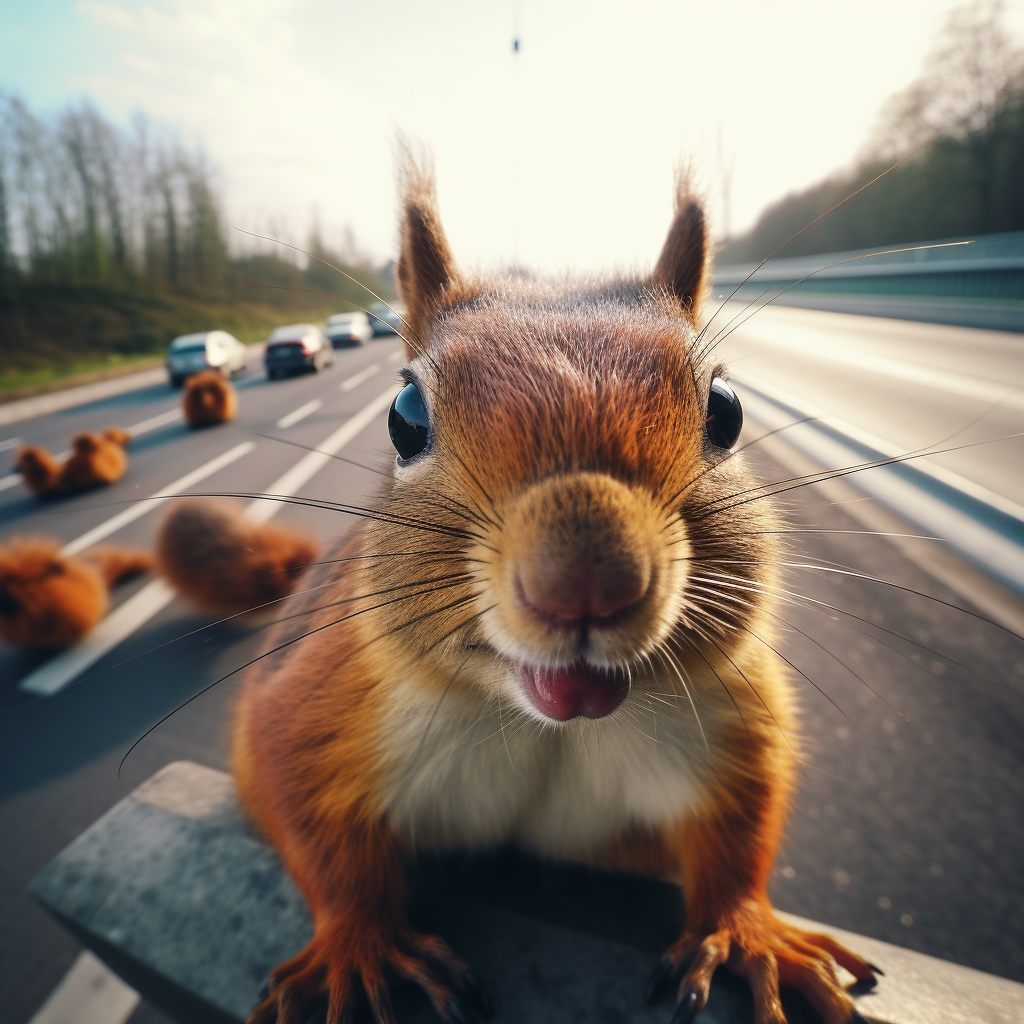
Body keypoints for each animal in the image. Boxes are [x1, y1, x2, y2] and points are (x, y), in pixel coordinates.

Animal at [228, 167, 876, 1024]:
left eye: (727, 411)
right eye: (404, 418)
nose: (584, 583)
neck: (538, 724)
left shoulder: (731, 721)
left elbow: (741, 829)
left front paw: (749, 934)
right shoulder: (323, 701)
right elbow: (312, 818)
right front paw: (360, 950)